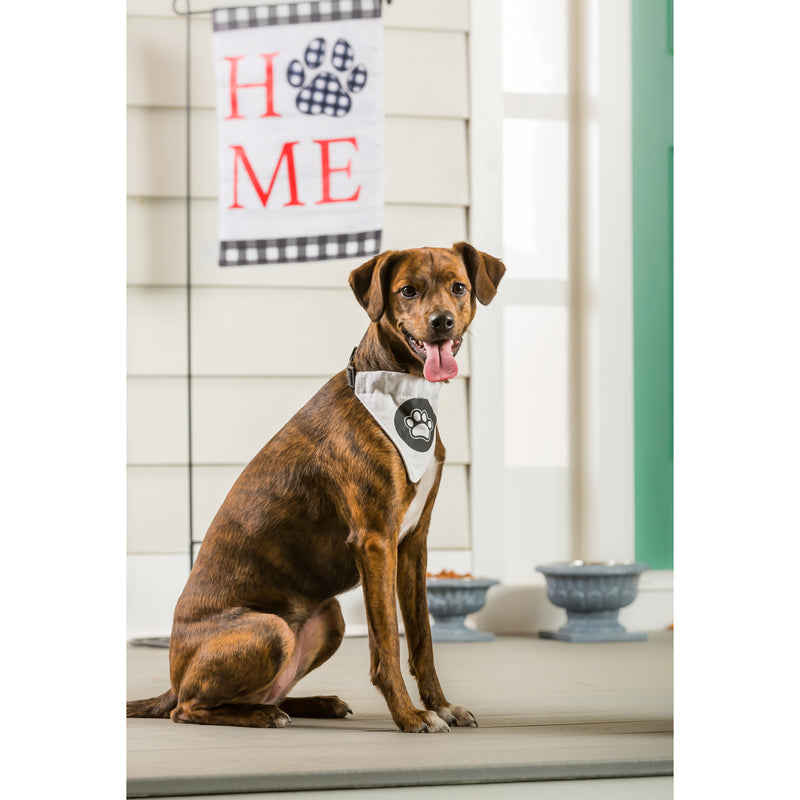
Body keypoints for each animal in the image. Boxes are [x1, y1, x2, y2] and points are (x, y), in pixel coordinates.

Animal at [129, 242, 506, 732]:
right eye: (408, 291)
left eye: (459, 287)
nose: (441, 321)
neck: (402, 390)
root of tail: (173, 680)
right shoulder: (376, 542)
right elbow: (388, 642)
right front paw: (409, 716)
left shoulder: (412, 544)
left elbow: (422, 639)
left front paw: (441, 705)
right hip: (268, 630)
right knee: (189, 709)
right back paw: (265, 716)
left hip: (329, 617)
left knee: (260, 693)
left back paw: (311, 703)